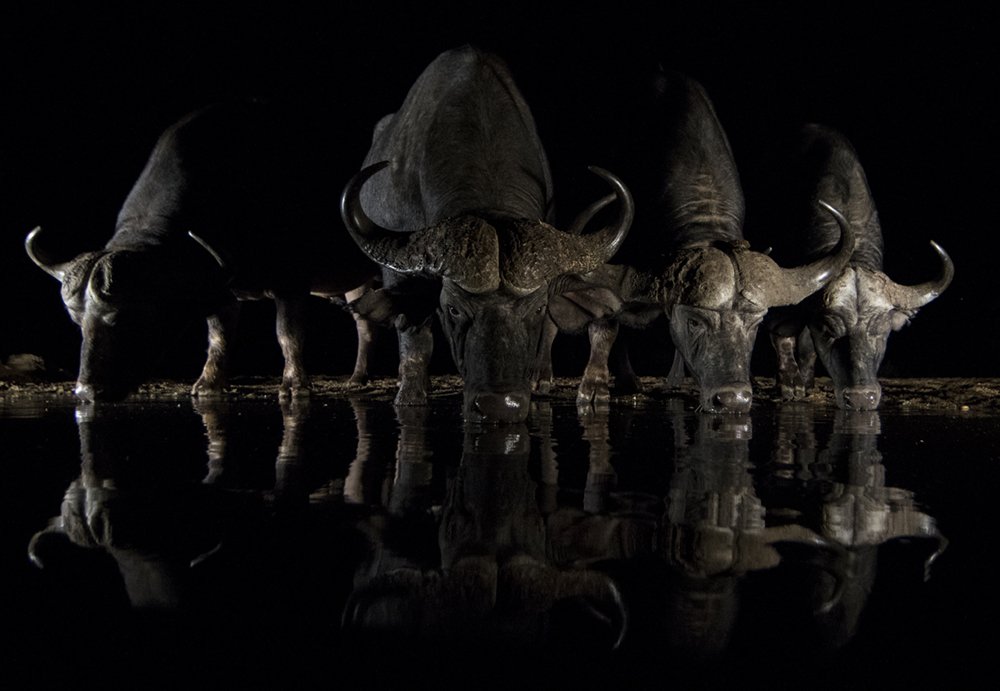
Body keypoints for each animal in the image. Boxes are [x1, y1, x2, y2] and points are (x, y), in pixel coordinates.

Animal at [26, 100, 379, 401]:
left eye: (127, 315)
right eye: (77, 320)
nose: (87, 391)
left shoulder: (291, 281)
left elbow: (288, 334)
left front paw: (294, 386)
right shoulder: (220, 290)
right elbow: (219, 337)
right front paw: (208, 385)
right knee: (364, 323)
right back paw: (357, 378)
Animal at [341, 45, 633, 423]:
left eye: (538, 308)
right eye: (452, 309)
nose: (499, 404)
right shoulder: (400, 273)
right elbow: (415, 336)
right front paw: (411, 395)